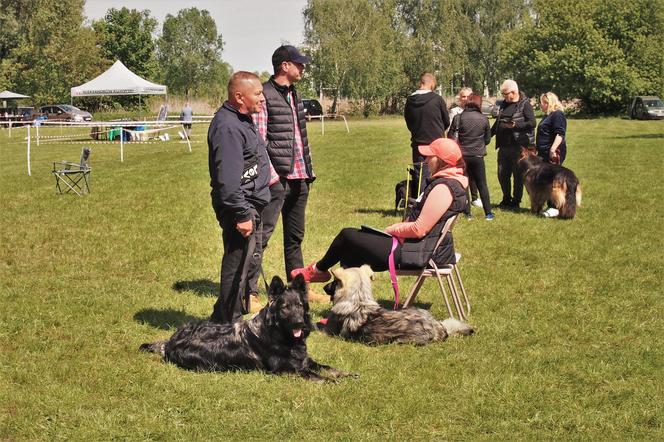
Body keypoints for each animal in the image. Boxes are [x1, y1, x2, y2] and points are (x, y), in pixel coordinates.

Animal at [139, 274, 358, 382]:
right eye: (285, 308)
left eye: (299, 306)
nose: (299, 323)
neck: (278, 334)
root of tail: (170, 342)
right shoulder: (285, 370)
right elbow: (316, 376)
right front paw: (332, 382)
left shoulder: (306, 361)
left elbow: (328, 368)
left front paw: (347, 374)